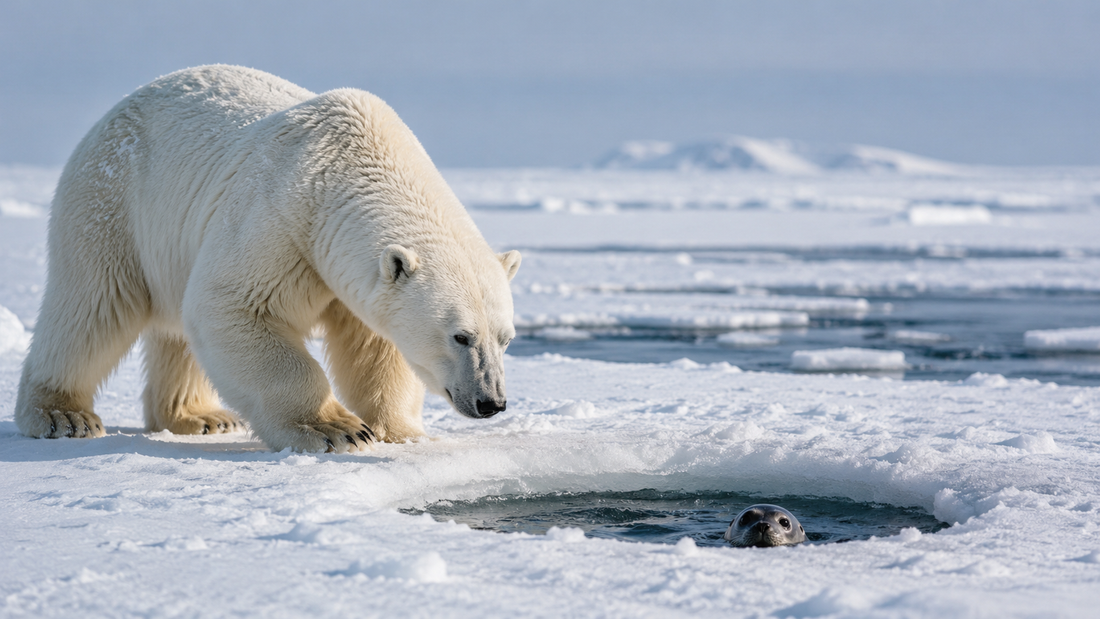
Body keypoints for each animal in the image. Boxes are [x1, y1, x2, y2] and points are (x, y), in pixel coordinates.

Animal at [15, 65, 521, 453]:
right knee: (93, 306)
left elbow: (377, 347)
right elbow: (232, 305)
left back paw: (202, 417)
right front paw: (335, 429)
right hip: (112, 203)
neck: (346, 166)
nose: (491, 403)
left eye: (506, 338)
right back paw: (62, 415)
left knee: (174, 330)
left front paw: (402, 432)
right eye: (460, 336)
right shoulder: (281, 222)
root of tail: (116, 108)